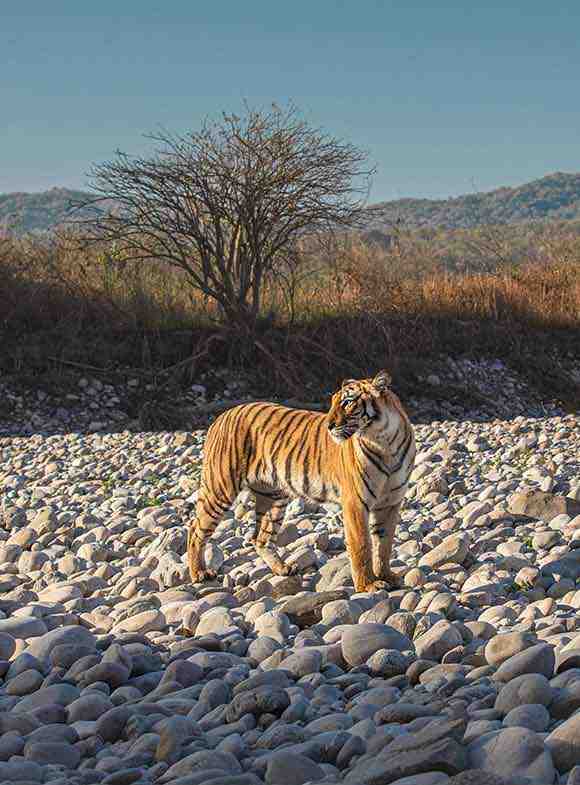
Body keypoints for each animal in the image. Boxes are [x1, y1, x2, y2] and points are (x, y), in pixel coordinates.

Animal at [188, 370, 414, 592]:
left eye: (347, 402)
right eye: (333, 402)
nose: (329, 426)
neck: (385, 441)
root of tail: (222, 416)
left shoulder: (390, 503)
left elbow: (384, 545)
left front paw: (387, 577)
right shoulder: (355, 502)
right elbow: (362, 544)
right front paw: (367, 585)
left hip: (274, 498)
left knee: (260, 538)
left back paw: (282, 569)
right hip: (220, 488)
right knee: (195, 529)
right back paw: (199, 573)